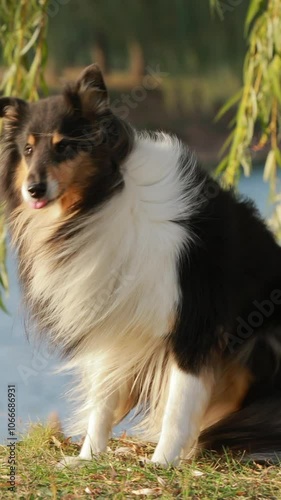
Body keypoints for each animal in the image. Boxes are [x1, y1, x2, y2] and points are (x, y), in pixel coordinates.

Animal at [0, 64, 280, 466]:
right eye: (26, 149)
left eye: (64, 146)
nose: (33, 190)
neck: (103, 200)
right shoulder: (112, 321)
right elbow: (103, 400)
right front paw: (87, 457)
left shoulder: (193, 323)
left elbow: (179, 403)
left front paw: (162, 462)